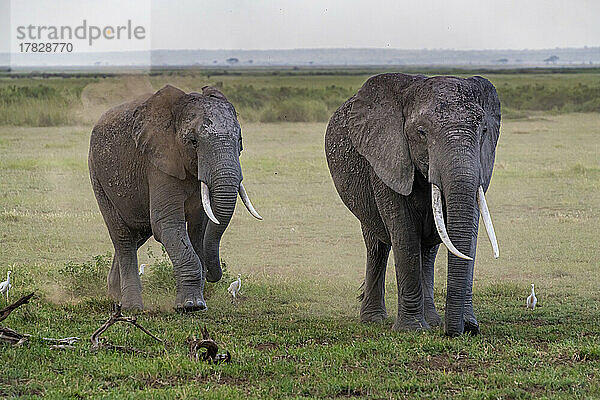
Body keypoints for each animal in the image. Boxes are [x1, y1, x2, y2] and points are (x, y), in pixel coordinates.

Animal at [88, 84, 262, 312]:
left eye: (240, 141)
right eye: (193, 142)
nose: (213, 275)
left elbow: (199, 227)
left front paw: (198, 302)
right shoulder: (158, 162)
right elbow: (167, 224)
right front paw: (191, 306)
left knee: (138, 235)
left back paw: (115, 296)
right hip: (97, 175)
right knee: (123, 237)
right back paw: (132, 307)